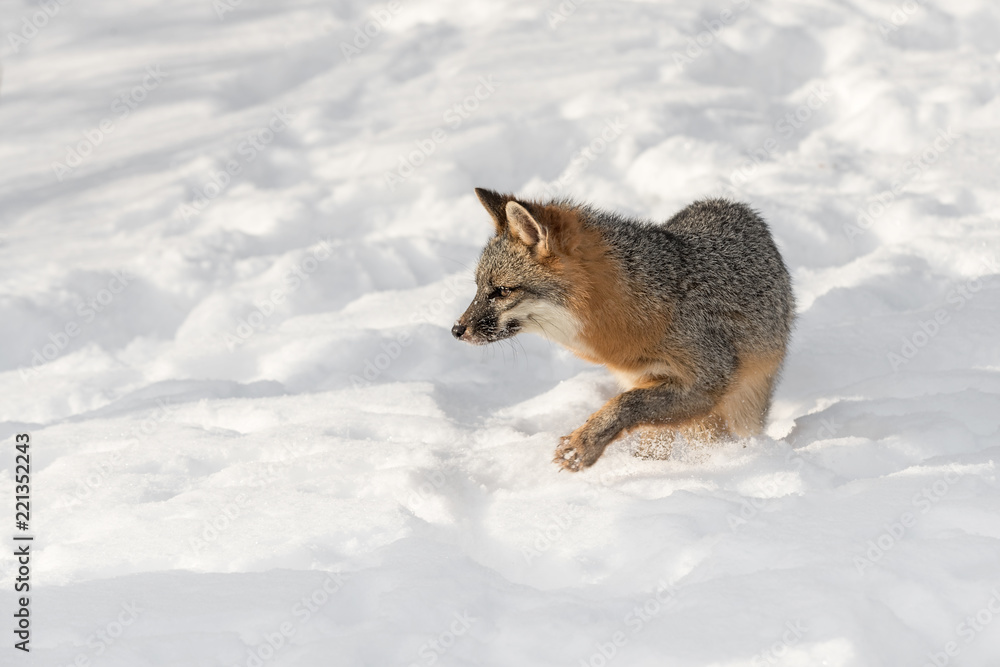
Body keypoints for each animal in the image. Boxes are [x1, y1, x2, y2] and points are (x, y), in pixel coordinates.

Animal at [452, 188, 795, 471]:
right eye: (478, 288)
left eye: (501, 291)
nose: (457, 329)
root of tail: (730, 204)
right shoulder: (640, 379)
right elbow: (642, 421)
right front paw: (639, 466)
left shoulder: (710, 379)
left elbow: (625, 405)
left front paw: (583, 445)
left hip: (743, 408)